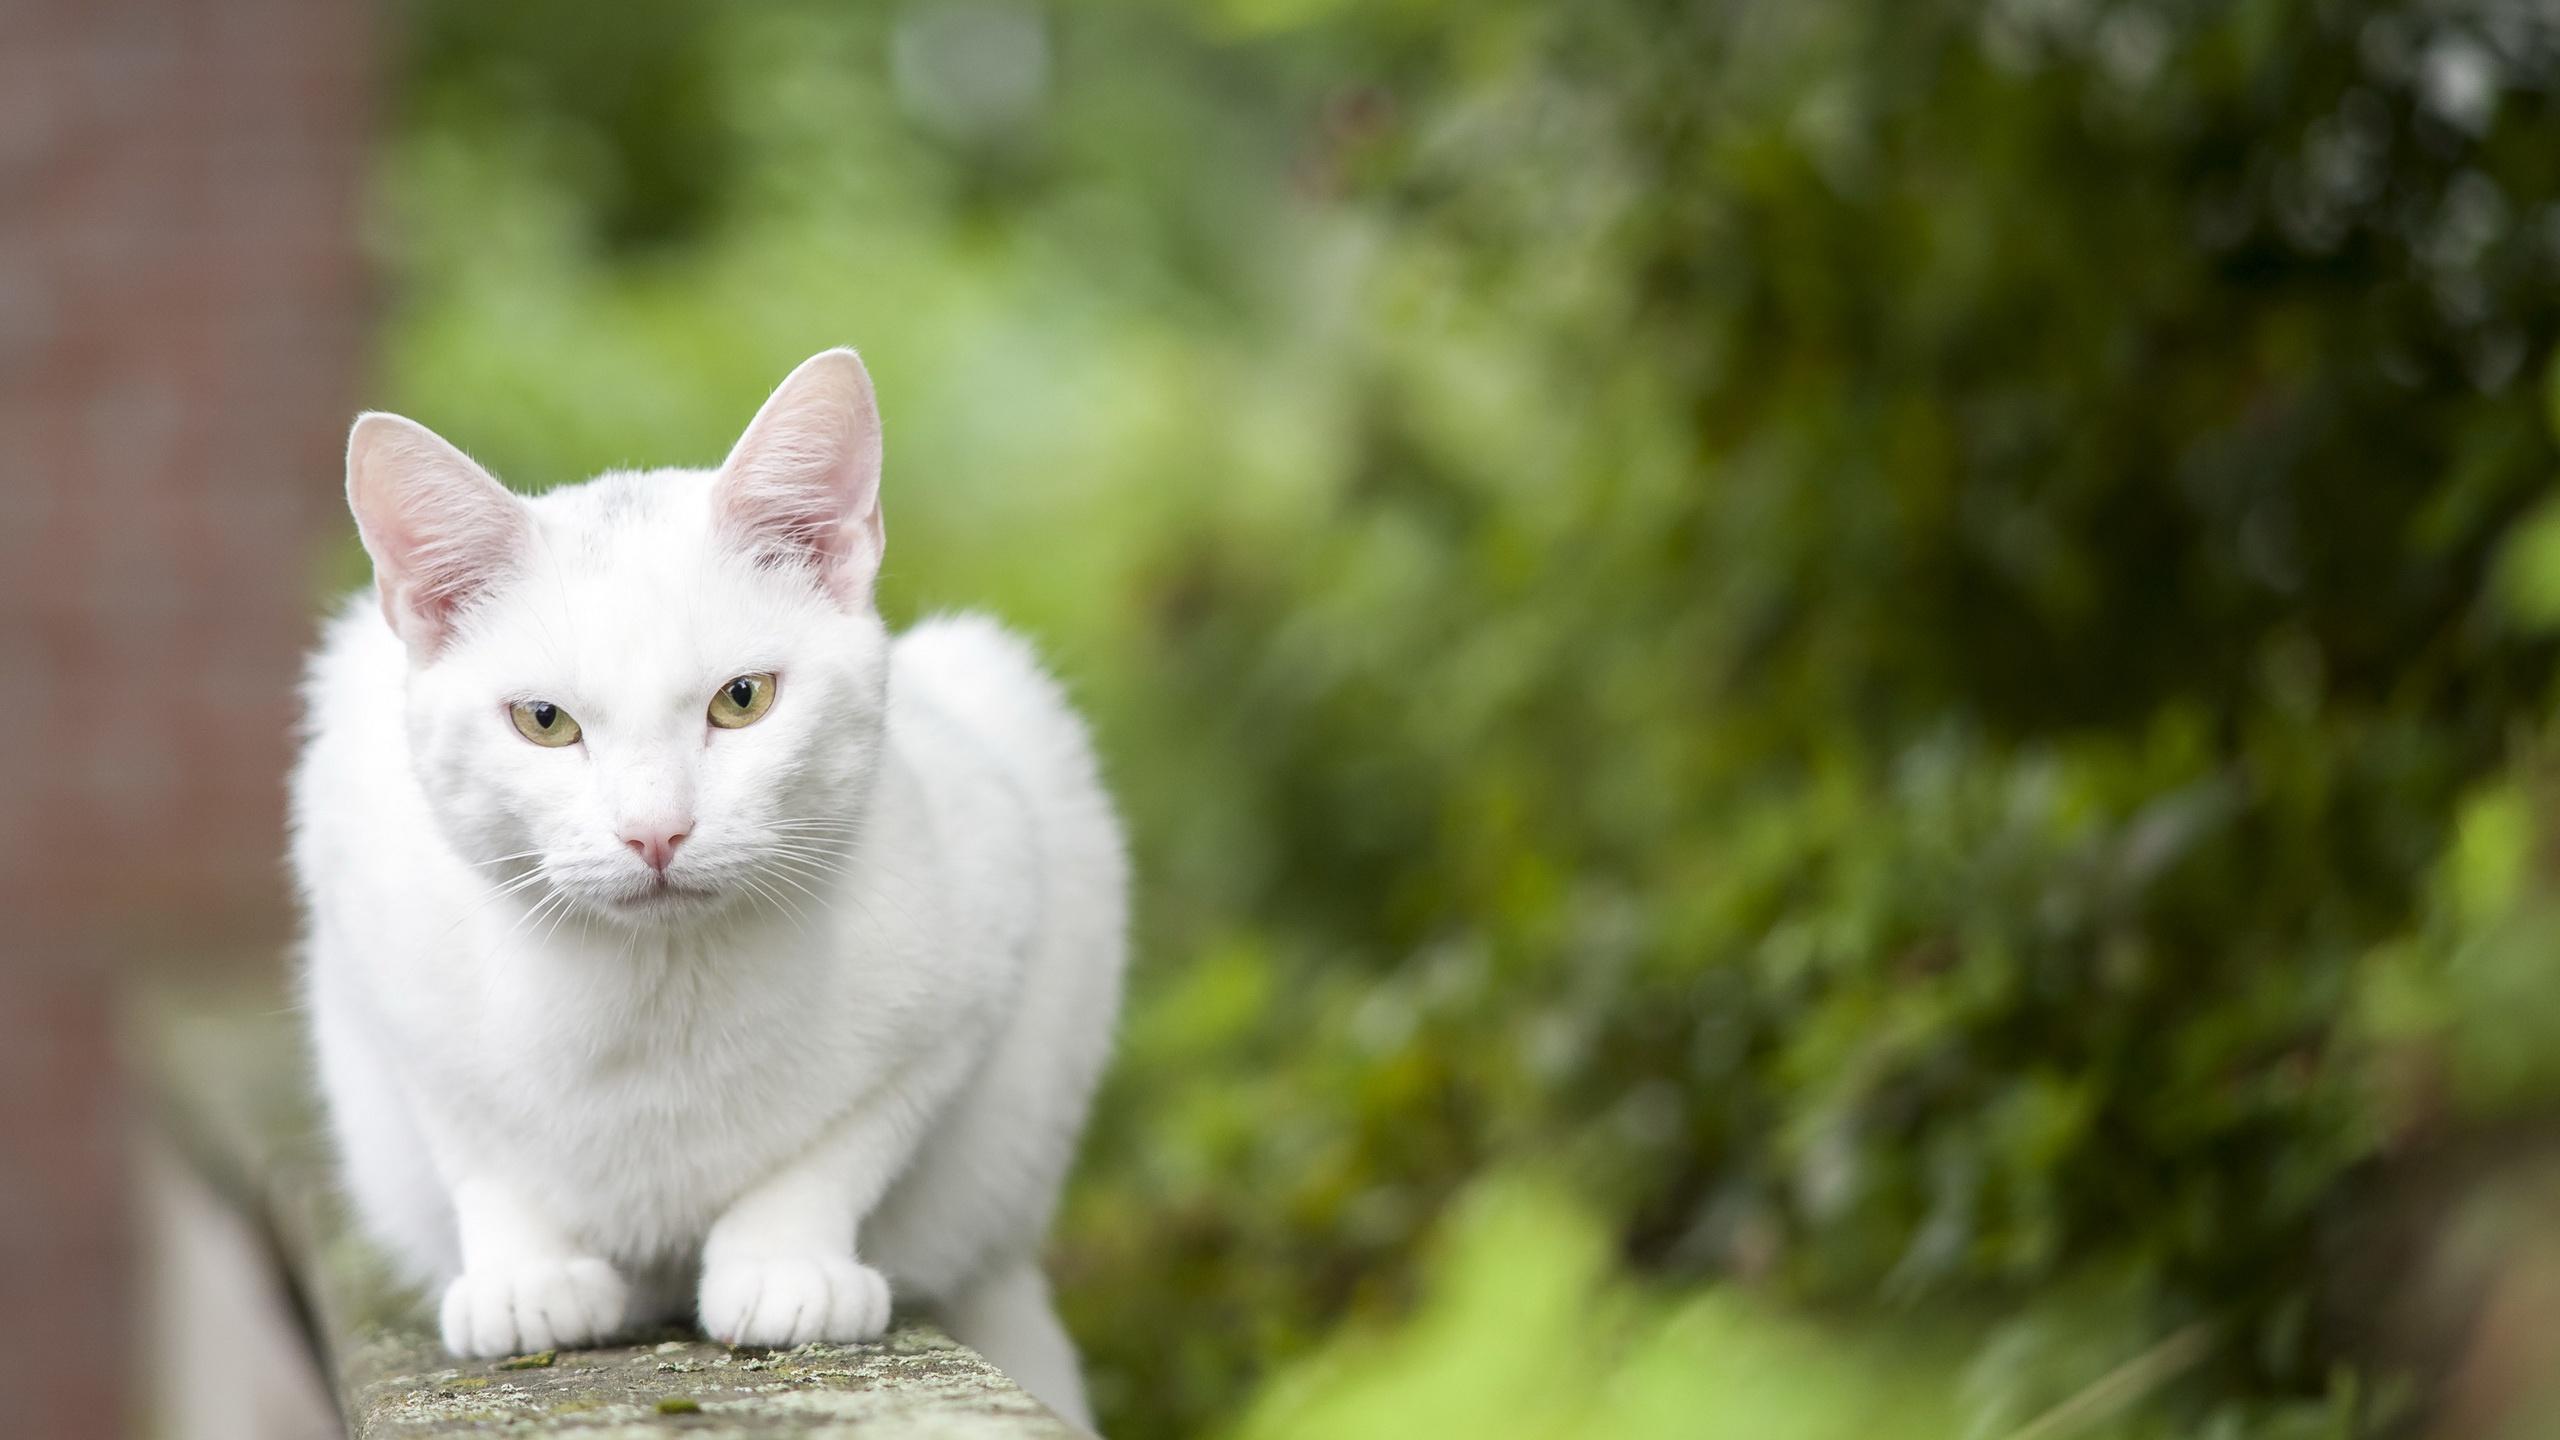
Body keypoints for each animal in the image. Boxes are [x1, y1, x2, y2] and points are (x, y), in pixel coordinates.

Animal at [288, 348, 1121, 1424]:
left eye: (743, 699)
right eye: (544, 720)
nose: (656, 831)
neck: (661, 988)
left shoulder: (987, 914)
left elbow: (852, 1136)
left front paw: (782, 1260)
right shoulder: (373, 938)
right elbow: (477, 1142)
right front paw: (526, 1271)